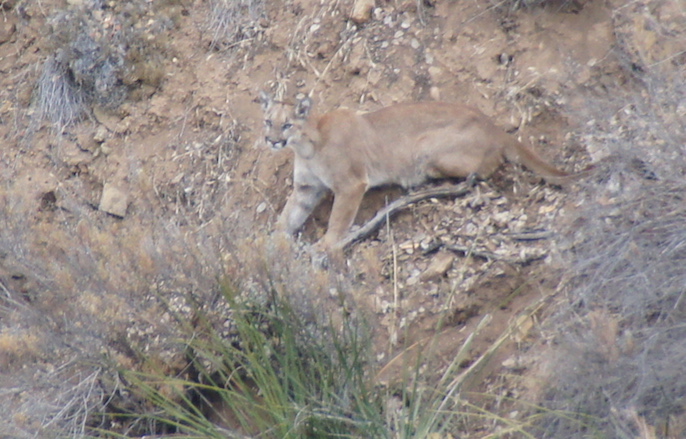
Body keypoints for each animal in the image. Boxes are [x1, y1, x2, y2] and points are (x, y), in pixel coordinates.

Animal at [258, 92, 568, 251]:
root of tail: (493, 126)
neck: (307, 147)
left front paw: (325, 245)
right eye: (268, 121)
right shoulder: (306, 189)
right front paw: (270, 244)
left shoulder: (350, 185)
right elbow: (287, 217)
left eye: (287, 124)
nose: (271, 140)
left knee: (487, 168)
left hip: (427, 149)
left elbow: (338, 220)